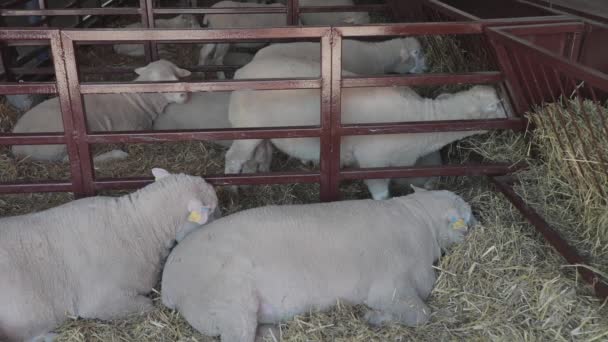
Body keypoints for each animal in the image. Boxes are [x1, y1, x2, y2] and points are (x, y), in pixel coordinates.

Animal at [11, 59, 192, 163]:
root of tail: (16, 148)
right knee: (68, 160)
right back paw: (117, 155)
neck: (139, 99)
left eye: (176, 77)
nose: (183, 95)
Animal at [163, 186, 476, 342]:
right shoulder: (392, 287)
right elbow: (422, 315)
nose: (479, 221)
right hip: (228, 304)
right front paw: (374, 318)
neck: (422, 225)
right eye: (468, 217)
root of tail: (168, 285)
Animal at [226, 57, 506, 199]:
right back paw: (232, 190)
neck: (420, 119)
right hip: (244, 130)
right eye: (498, 105)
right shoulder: (374, 162)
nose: (510, 121)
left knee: (258, 155)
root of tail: (240, 72)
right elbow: (381, 195)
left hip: (261, 133)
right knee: (233, 158)